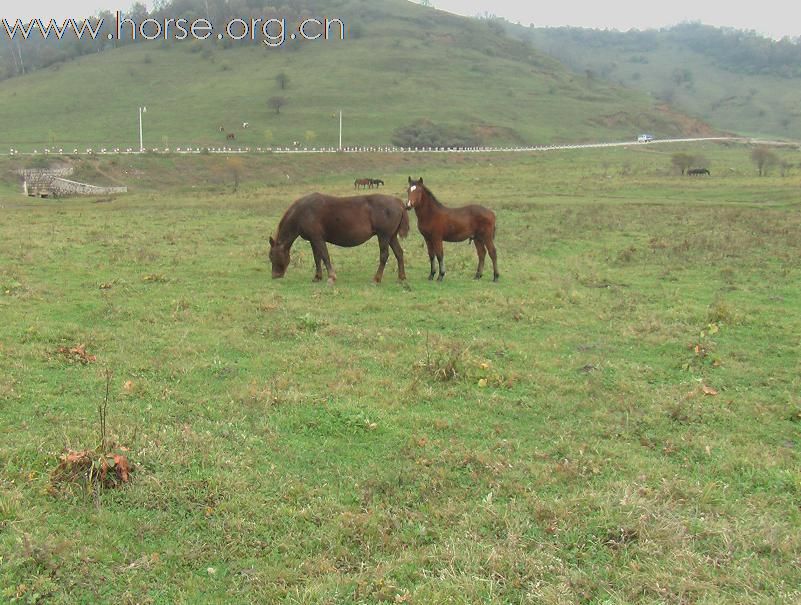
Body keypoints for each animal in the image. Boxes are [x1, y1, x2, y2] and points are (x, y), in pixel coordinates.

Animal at [270, 192, 410, 284]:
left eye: (271, 256)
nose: (275, 276)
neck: (303, 212)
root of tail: (398, 202)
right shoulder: (313, 240)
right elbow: (317, 258)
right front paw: (317, 277)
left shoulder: (317, 238)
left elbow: (324, 256)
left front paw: (331, 277)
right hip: (391, 236)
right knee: (399, 253)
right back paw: (401, 277)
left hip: (384, 236)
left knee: (384, 255)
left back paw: (377, 278)